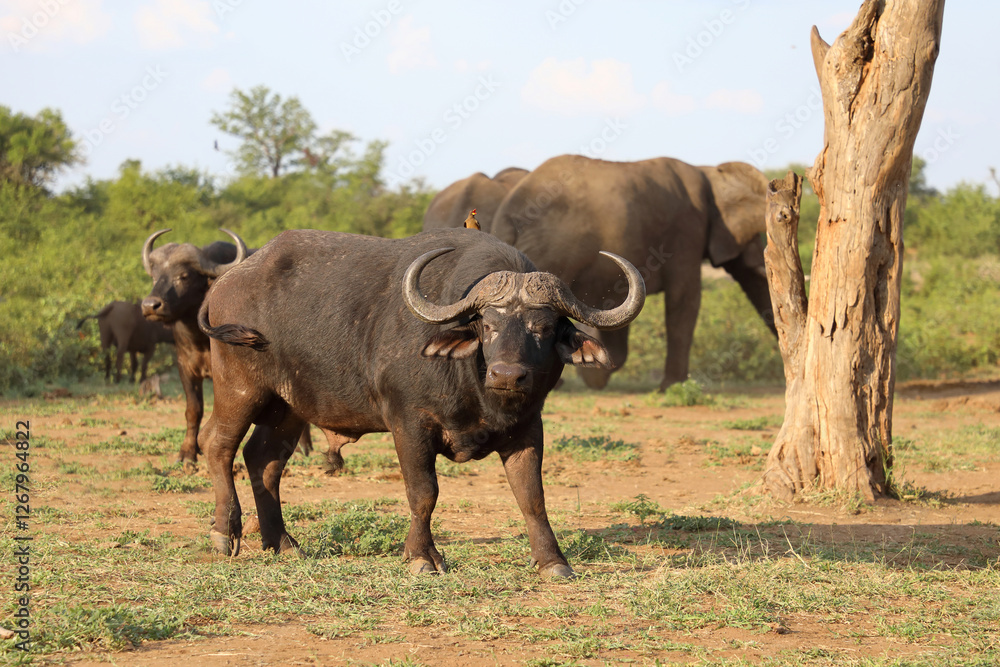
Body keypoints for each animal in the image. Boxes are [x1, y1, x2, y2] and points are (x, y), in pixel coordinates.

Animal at [196, 228, 644, 577]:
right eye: (488, 324)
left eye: (545, 327)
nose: (506, 375)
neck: (475, 388)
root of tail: (226, 282)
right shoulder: (409, 424)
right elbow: (423, 491)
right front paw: (421, 557)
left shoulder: (528, 428)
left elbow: (532, 495)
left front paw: (553, 560)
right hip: (239, 388)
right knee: (218, 445)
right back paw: (224, 533)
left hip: (288, 407)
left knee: (263, 461)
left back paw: (282, 542)